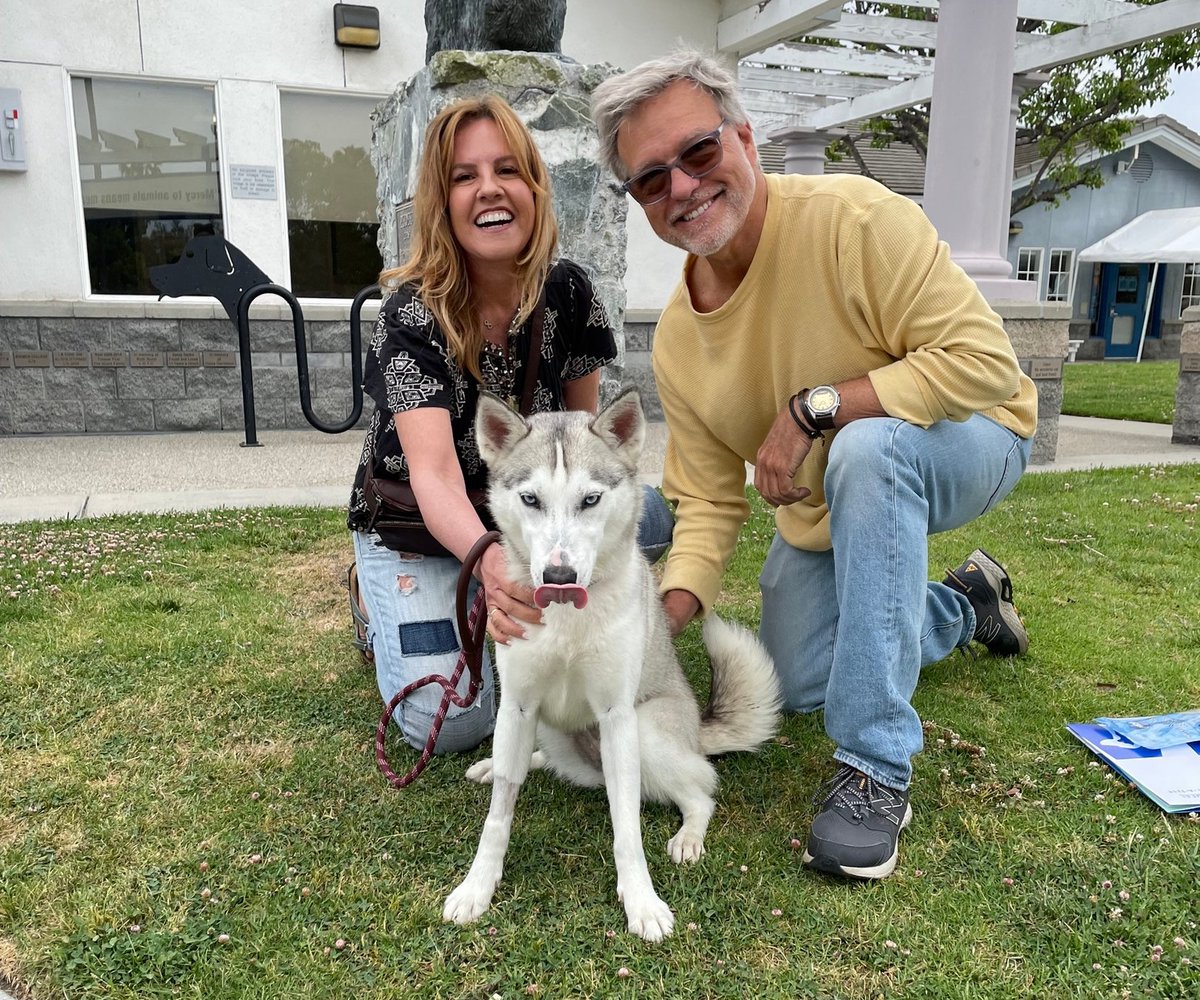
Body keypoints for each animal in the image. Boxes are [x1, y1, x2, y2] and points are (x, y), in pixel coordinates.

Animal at [446, 386, 782, 941]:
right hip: (551, 733)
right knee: (541, 762)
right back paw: (499, 765)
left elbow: (627, 825)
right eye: (530, 499)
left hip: (646, 735)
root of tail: (698, 727)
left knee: (701, 791)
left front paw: (641, 900)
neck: (567, 622)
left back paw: (689, 836)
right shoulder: (517, 707)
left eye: (591, 499)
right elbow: (498, 817)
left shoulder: (617, 719)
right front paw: (477, 886)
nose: (559, 576)